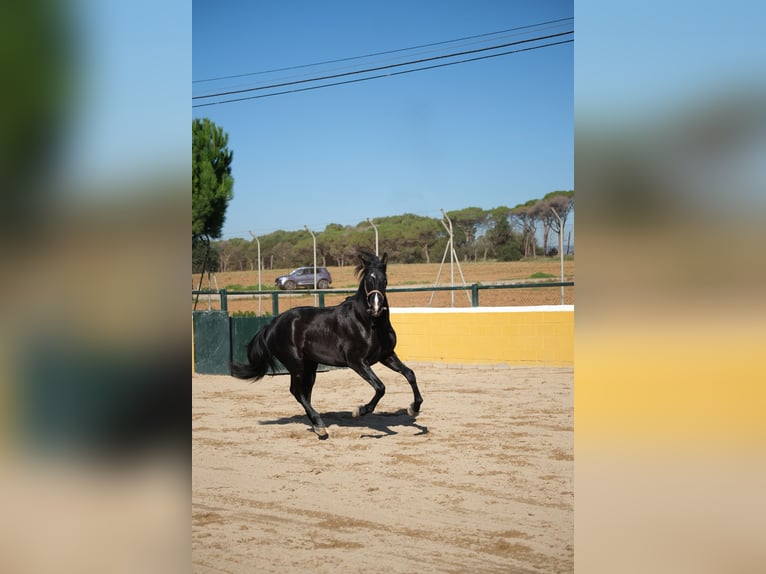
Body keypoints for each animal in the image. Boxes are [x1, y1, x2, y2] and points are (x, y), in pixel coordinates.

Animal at [231, 252, 424, 440]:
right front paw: (359, 411)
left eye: (385, 280)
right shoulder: (357, 362)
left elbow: (410, 374)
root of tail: (271, 325)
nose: (376, 307)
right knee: (296, 391)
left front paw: (413, 408)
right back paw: (320, 426)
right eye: (368, 280)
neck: (368, 323)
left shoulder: (386, 355)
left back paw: (318, 427)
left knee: (305, 393)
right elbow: (380, 387)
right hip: (296, 364)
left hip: (310, 366)